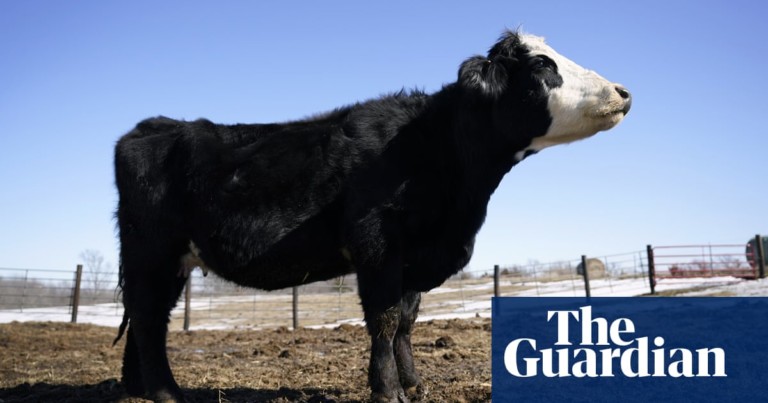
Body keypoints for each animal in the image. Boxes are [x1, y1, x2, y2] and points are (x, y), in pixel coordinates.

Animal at [113, 31, 631, 403]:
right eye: (543, 65)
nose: (623, 91)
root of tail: (151, 127)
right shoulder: (377, 243)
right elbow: (383, 318)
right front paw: (387, 391)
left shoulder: (415, 255)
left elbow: (406, 321)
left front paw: (415, 384)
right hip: (152, 251)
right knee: (149, 318)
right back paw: (166, 393)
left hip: (168, 261)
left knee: (145, 317)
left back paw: (137, 390)